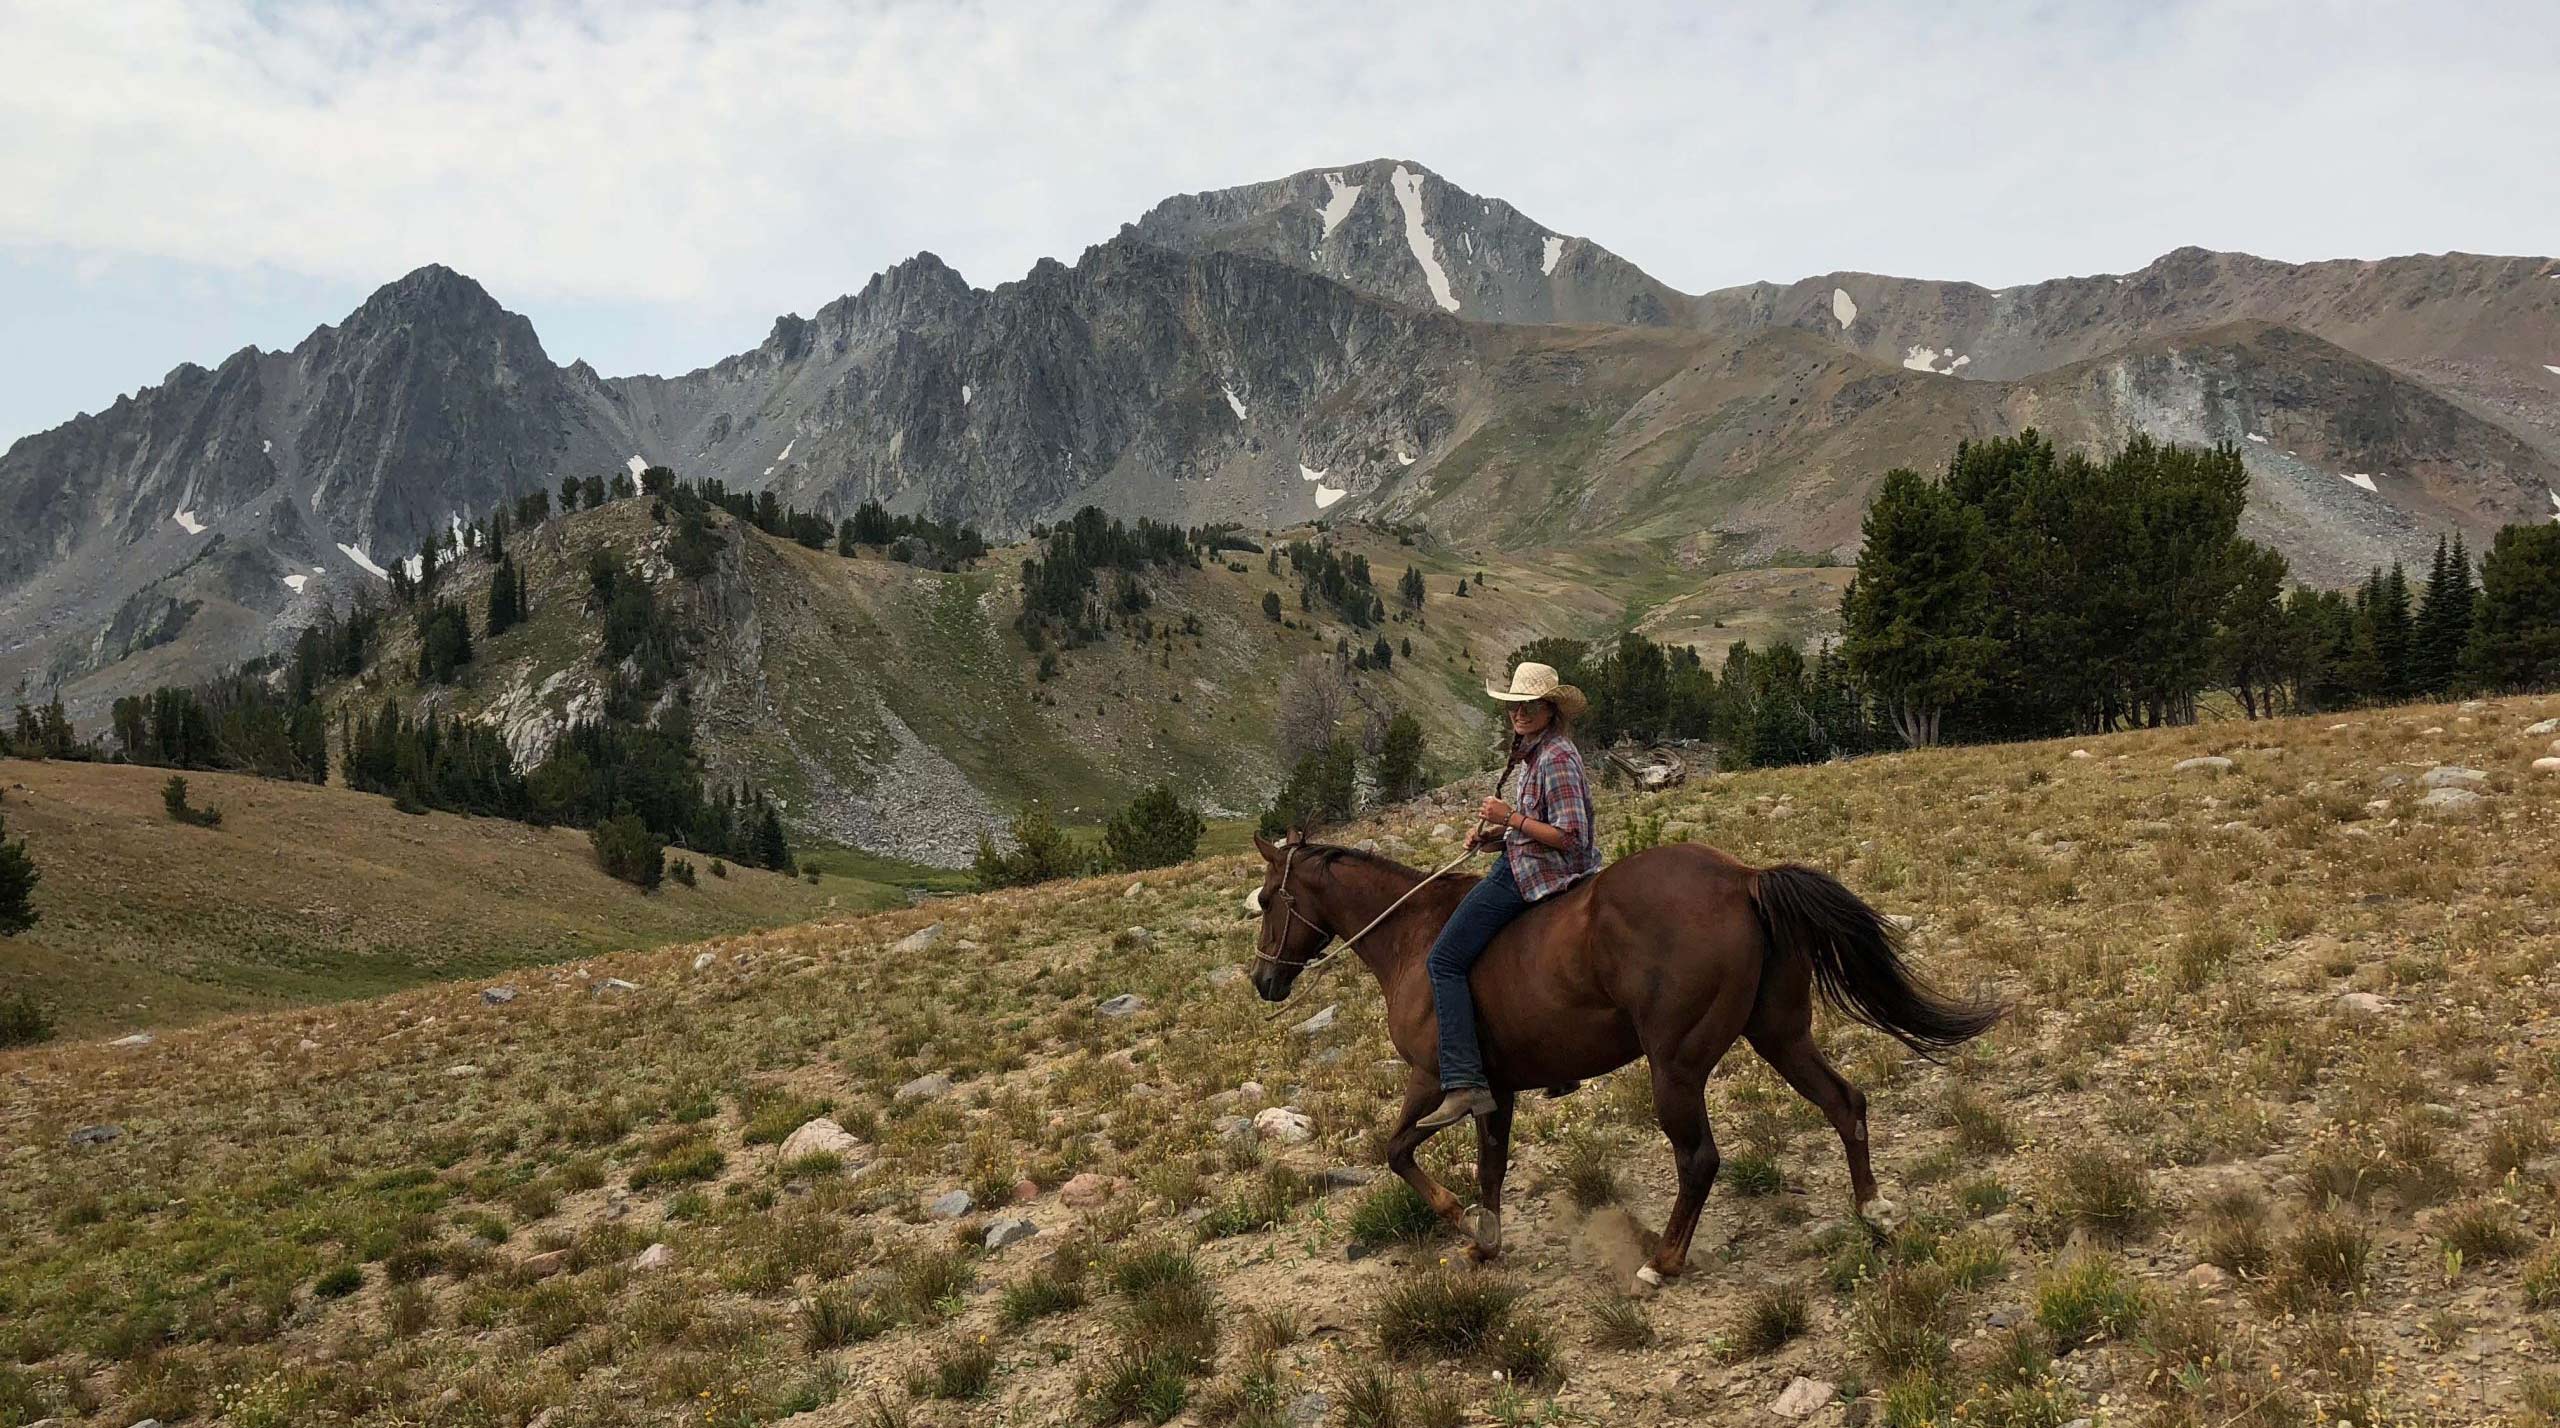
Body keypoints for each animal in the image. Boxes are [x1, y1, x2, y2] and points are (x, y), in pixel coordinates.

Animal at [1239, 834, 1996, 1294]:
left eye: (1270, 899)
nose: (1263, 981)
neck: (1413, 937)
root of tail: (1744, 879)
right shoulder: (1498, 1091)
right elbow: (1490, 1165)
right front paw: (1486, 1243)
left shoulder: (1433, 1080)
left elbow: (1396, 1148)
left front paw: (1454, 1217)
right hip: (1780, 1036)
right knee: (1845, 1102)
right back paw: (1873, 1211)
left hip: (1677, 1065)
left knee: (1699, 1158)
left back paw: (1662, 1263)